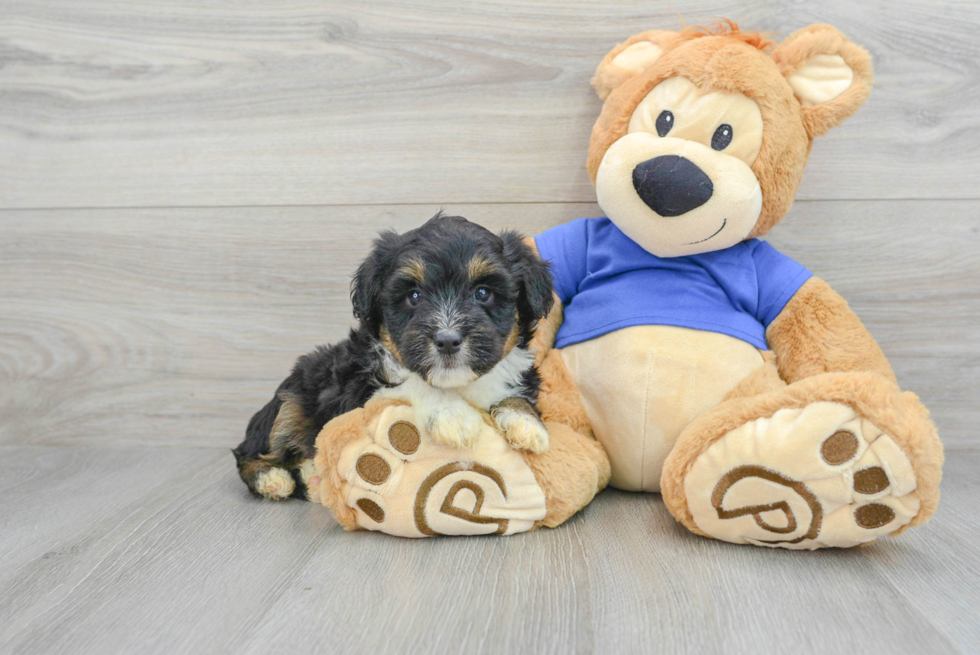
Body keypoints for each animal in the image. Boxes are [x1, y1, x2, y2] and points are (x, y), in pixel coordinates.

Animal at [229, 213, 552, 500]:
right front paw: (453, 415)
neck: (457, 384)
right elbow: (412, 385)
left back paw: (311, 475)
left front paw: (526, 423)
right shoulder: (362, 393)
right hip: (290, 401)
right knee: (251, 450)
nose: (447, 340)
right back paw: (271, 478)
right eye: (414, 296)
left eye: (483, 293)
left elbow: (516, 395)